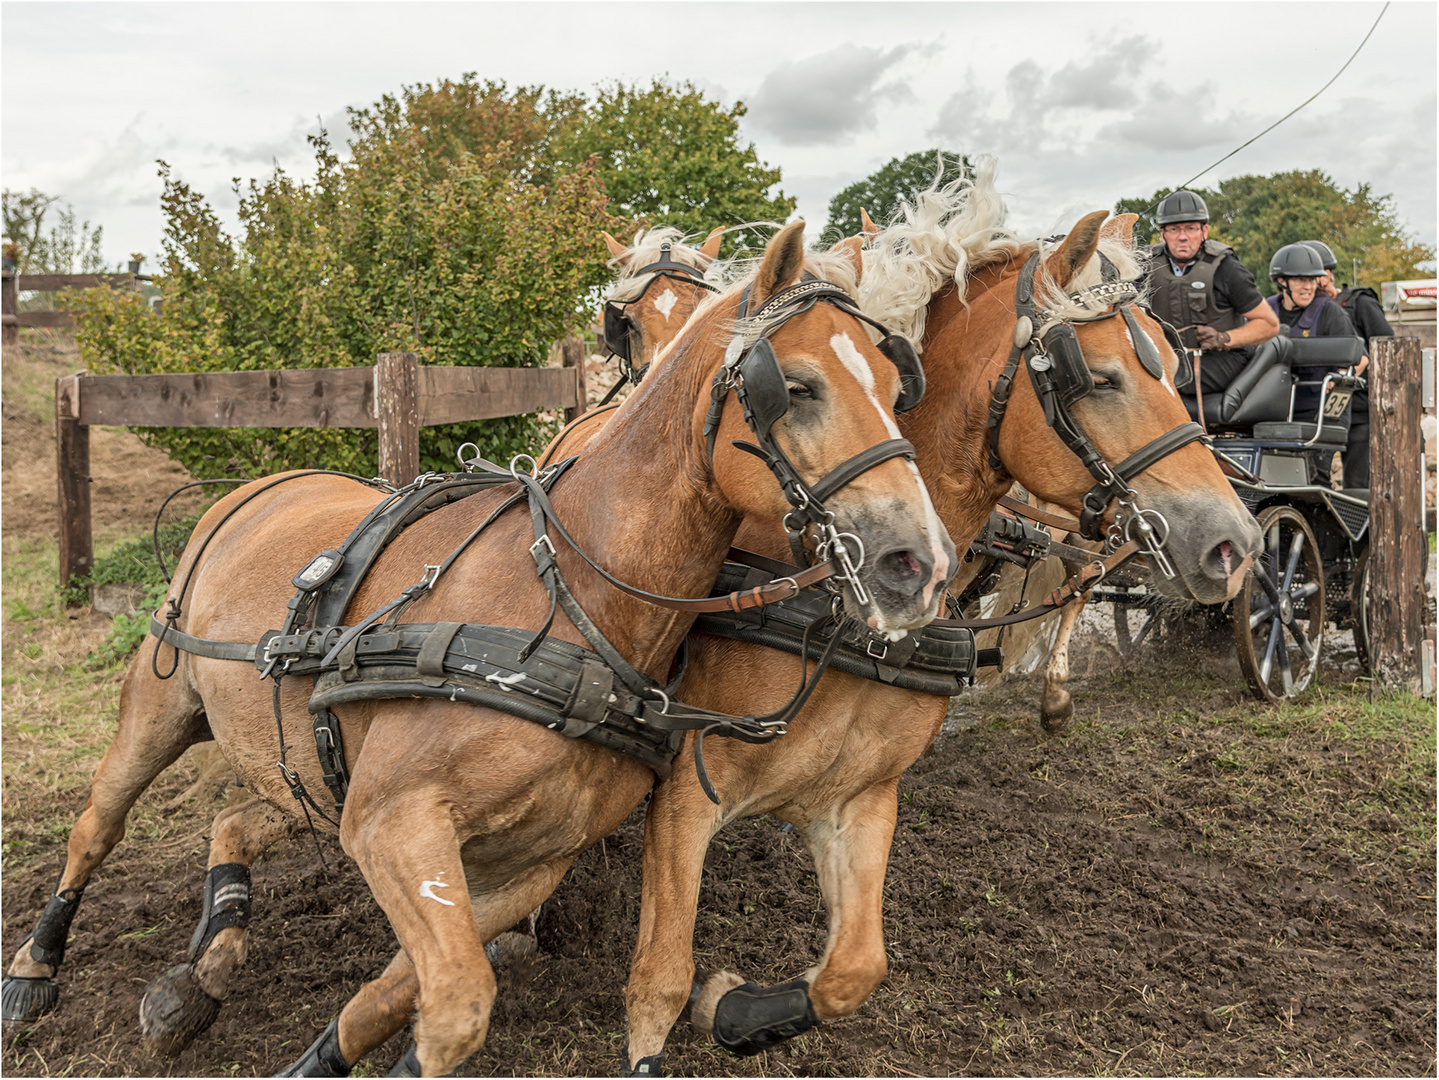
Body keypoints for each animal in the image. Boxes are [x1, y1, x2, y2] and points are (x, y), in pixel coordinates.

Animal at [0, 224, 955, 1075]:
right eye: (796, 386)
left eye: (894, 382)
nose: (919, 562)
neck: (573, 608)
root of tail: (261, 483)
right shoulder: (395, 822)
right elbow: (455, 1004)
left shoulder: (522, 863)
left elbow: (403, 1001)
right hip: (159, 706)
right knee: (96, 826)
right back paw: (36, 969)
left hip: (300, 768)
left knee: (236, 819)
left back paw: (208, 954)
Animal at [264, 164, 1266, 1075]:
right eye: (1098, 377)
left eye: (1173, 359)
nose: (1233, 541)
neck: (830, 607)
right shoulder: (686, 790)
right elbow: (657, 983)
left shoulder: (859, 795)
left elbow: (853, 968)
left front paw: (738, 1011)